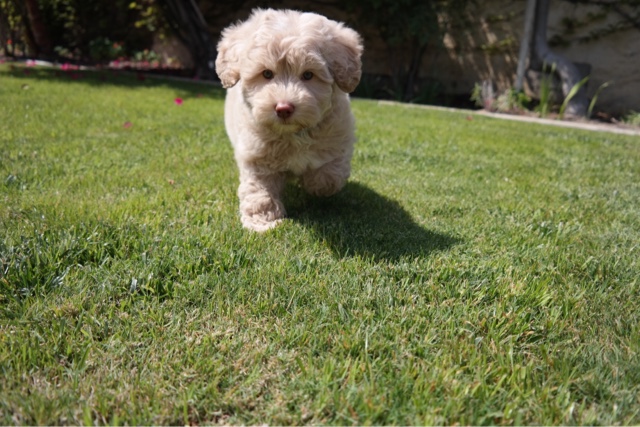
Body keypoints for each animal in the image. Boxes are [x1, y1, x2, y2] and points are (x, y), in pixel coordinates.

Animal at [215, 8, 363, 232]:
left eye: (308, 75)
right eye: (267, 73)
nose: (283, 108)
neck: (293, 134)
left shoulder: (339, 136)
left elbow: (330, 174)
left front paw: (314, 183)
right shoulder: (256, 154)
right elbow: (260, 190)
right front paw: (263, 222)